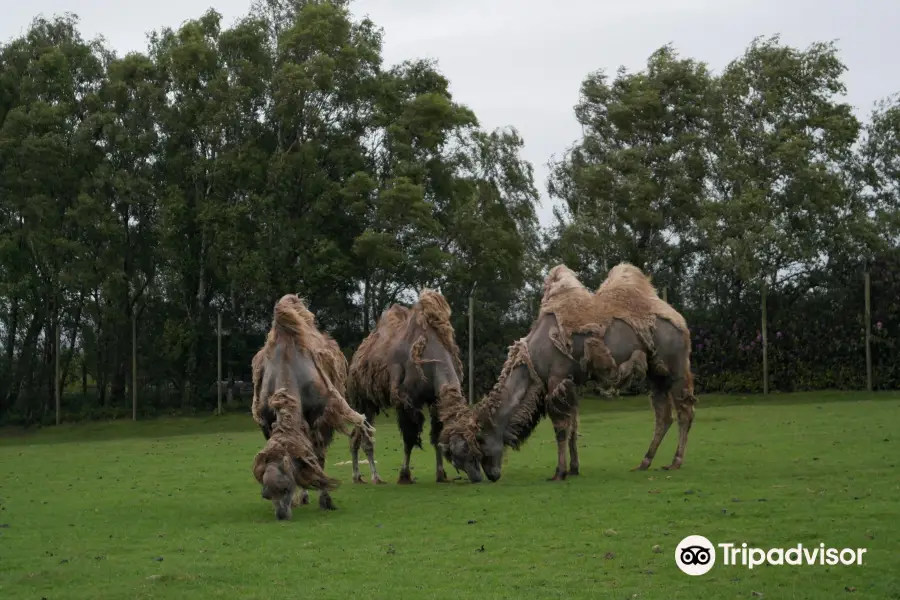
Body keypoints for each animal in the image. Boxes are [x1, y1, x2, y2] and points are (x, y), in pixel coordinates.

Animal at [251, 292, 374, 516]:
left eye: (285, 487)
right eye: (266, 494)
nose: (281, 515)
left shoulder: (320, 417)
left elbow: (317, 457)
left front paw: (326, 500)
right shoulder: (266, 421)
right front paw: (303, 496)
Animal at [346, 288, 486, 486]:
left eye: (477, 451)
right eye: (460, 453)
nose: (477, 477)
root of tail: (358, 357)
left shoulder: (435, 399)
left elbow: (436, 436)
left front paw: (441, 474)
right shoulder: (407, 400)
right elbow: (409, 440)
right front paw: (404, 475)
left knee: (355, 436)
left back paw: (357, 476)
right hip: (363, 400)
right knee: (367, 439)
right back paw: (375, 477)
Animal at [436, 262, 696, 482]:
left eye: (478, 441)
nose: (490, 475)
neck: (533, 357)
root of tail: (681, 321)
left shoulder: (557, 378)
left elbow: (561, 428)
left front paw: (559, 472)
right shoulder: (571, 382)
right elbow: (573, 427)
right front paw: (573, 469)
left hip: (675, 366)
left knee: (685, 410)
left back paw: (675, 462)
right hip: (656, 373)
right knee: (664, 415)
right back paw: (645, 462)